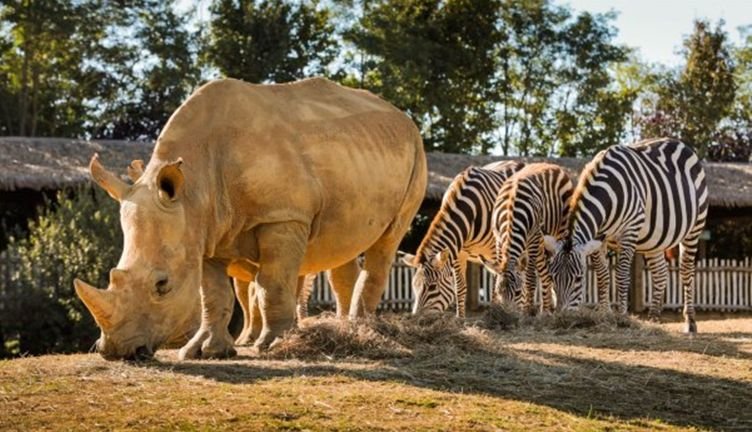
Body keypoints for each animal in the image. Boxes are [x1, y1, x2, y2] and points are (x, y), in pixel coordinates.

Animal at [400, 159, 524, 318]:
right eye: (413, 286)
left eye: (432, 287)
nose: (416, 319)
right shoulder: (458, 254)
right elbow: (460, 287)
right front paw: (460, 318)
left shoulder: (494, 250)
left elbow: (496, 284)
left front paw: (496, 313)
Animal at [482, 162, 576, 314]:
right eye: (499, 292)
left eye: (518, 292)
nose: (506, 315)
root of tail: (549, 164)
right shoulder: (498, 239)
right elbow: (496, 273)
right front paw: (495, 303)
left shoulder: (534, 238)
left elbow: (530, 278)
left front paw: (527, 310)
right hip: (542, 243)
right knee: (544, 270)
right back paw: (546, 308)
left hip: (557, 232)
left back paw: (546, 310)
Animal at [544, 138, 708, 334]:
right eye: (552, 277)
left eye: (578, 279)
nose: (561, 319)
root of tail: (680, 143)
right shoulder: (598, 238)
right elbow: (603, 275)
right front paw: (604, 313)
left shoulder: (630, 230)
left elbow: (622, 274)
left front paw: (621, 317)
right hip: (655, 239)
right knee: (660, 272)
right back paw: (653, 319)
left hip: (694, 228)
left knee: (686, 271)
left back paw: (690, 322)